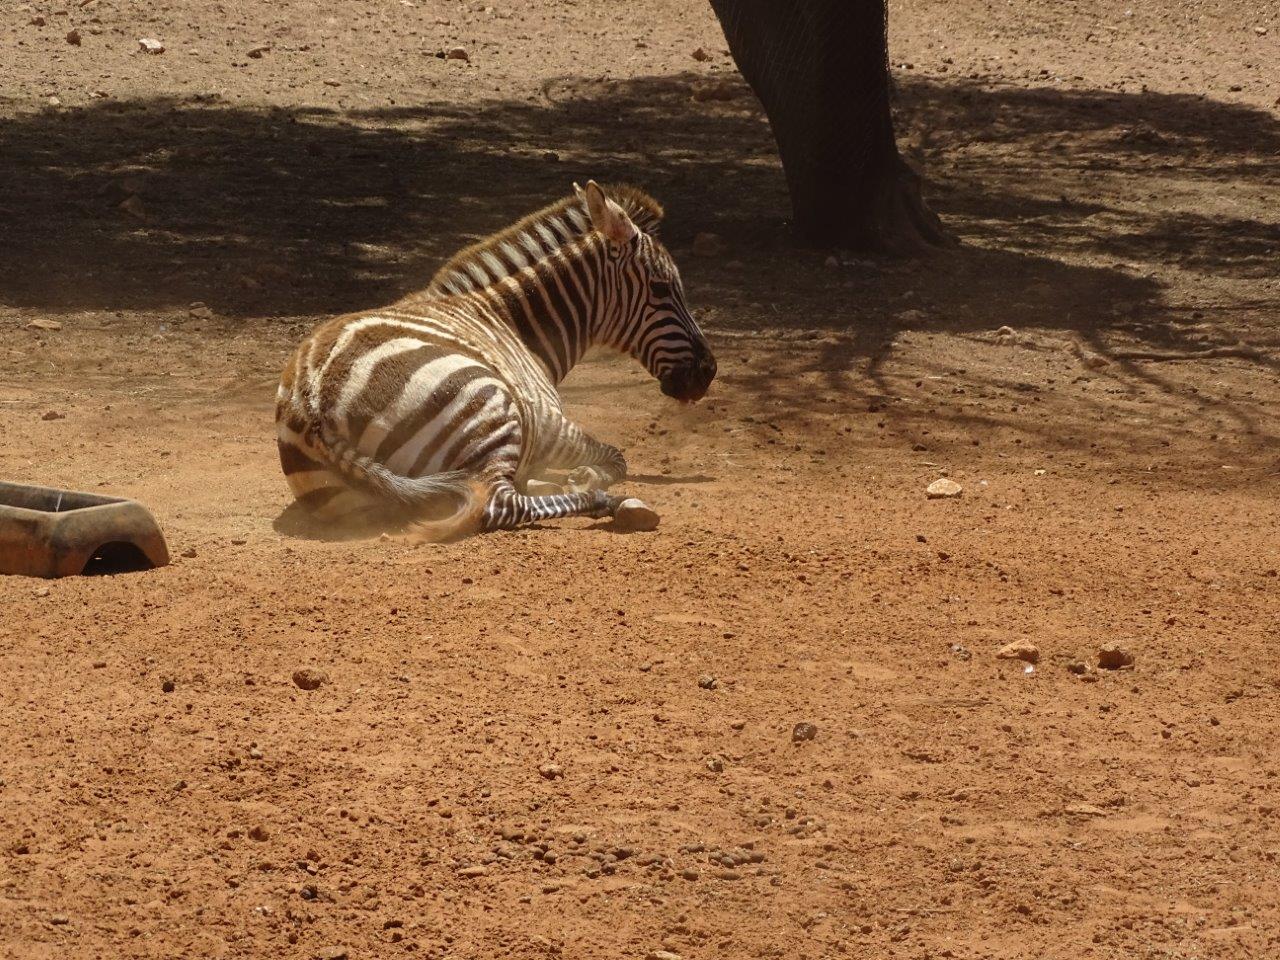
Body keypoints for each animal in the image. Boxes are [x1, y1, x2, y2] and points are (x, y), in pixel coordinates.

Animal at [275, 180, 716, 539]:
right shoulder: (549, 425)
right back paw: (613, 502)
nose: (708, 372)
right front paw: (585, 478)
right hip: (487, 403)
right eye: (661, 288)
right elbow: (615, 456)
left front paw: (564, 479)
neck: (513, 324)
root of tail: (311, 405)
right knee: (498, 504)